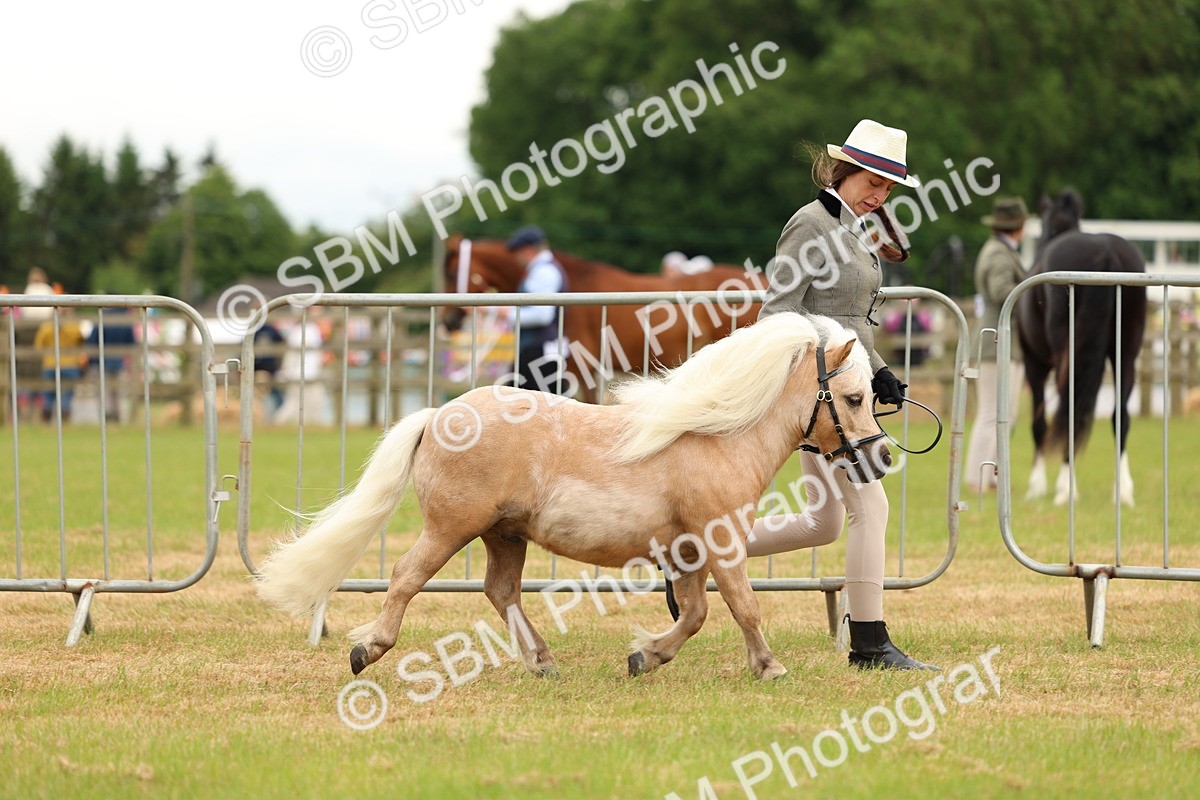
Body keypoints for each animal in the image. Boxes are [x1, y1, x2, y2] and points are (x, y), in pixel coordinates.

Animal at [256, 313, 889, 682]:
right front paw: (769, 667)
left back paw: (540, 660)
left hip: (504, 535)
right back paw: (368, 650)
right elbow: (743, 606)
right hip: (450, 529)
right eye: (854, 398)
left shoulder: (688, 552)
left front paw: (645, 656)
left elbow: (697, 614)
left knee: (500, 591)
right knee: (407, 577)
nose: (880, 459)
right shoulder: (722, 542)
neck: (717, 436)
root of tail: (439, 415)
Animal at [1016, 188, 1147, 506]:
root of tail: (1107, 253)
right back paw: (1122, 491)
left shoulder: (1034, 363)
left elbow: (1039, 423)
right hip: (1126, 354)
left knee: (1069, 411)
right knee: (1120, 417)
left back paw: (1065, 489)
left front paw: (1036, 486)